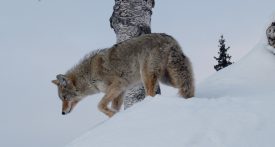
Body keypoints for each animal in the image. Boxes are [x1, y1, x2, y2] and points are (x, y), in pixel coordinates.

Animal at [51, 33, 194, 117]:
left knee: (151, 94)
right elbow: (112, 107)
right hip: (170, 80)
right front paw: (114, 116)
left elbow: (99, 106)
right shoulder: (121, 91)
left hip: (146, 76)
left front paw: (112, 114)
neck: (89, 74)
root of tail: (169, 38)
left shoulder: (118, 85)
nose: (62, 113)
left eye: (65, 98)